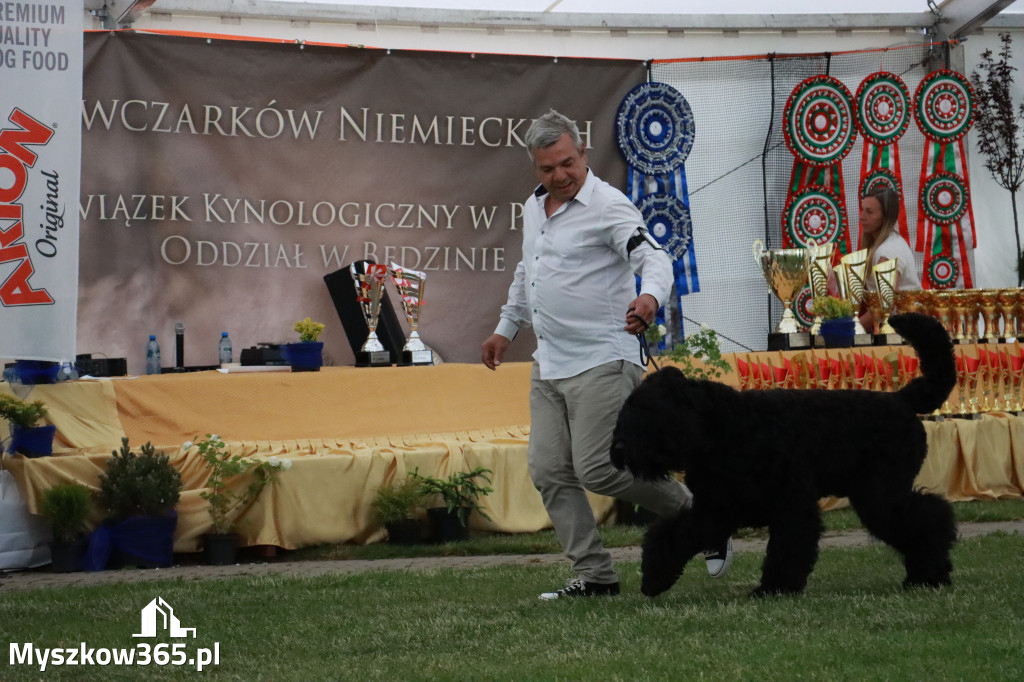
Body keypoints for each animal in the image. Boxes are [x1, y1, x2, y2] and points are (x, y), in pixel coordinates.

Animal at [610, 313, 954, 593]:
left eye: (648, 412)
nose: (619, 450)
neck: (724, 429)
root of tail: (903, 400)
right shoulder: (717, 507)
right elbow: (675, 534)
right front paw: (654, 577)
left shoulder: (791, 502)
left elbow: (788, 546)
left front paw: (774, 588)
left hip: (881, 494)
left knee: (929, 517)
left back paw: (929, 576)